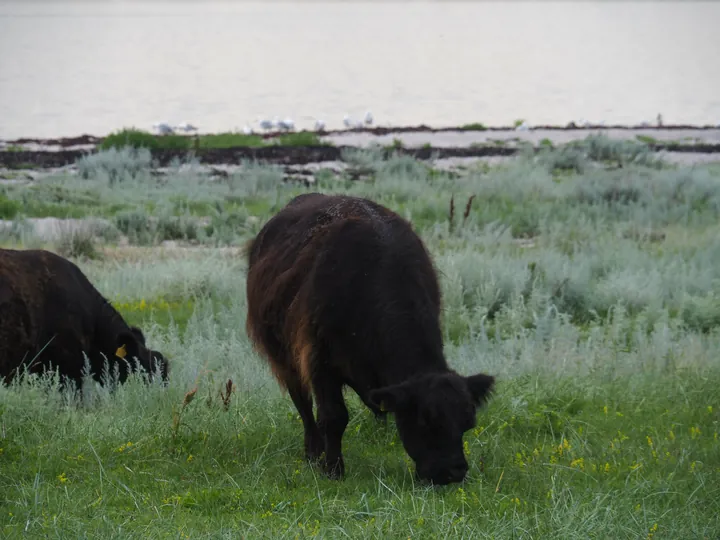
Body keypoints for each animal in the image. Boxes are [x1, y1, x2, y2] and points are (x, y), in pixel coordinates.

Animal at [245, 194, 492, 486]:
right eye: (426, 422)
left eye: (467, 423)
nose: (453, 472)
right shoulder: (320, 361)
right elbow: (334, 416)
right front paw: (333, 469)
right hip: (284, 357)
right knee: (302, 402)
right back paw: (314, 452)